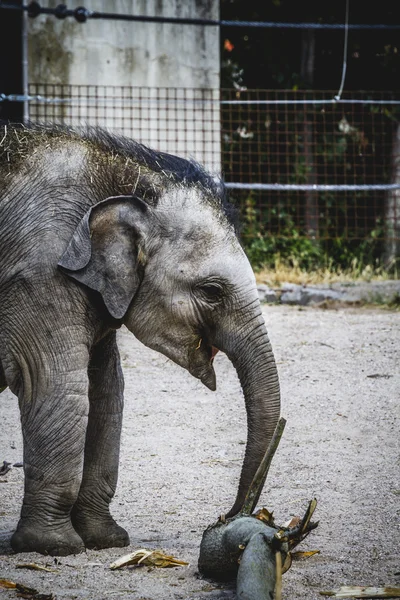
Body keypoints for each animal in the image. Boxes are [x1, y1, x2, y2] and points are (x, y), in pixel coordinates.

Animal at [0, 123, 280, 556]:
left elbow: (106, 392)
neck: (124, 179)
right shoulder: (38, 275)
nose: (229, 515)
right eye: (212, 291)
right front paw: (52, 547)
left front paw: (106, 540)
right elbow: (57, 386)